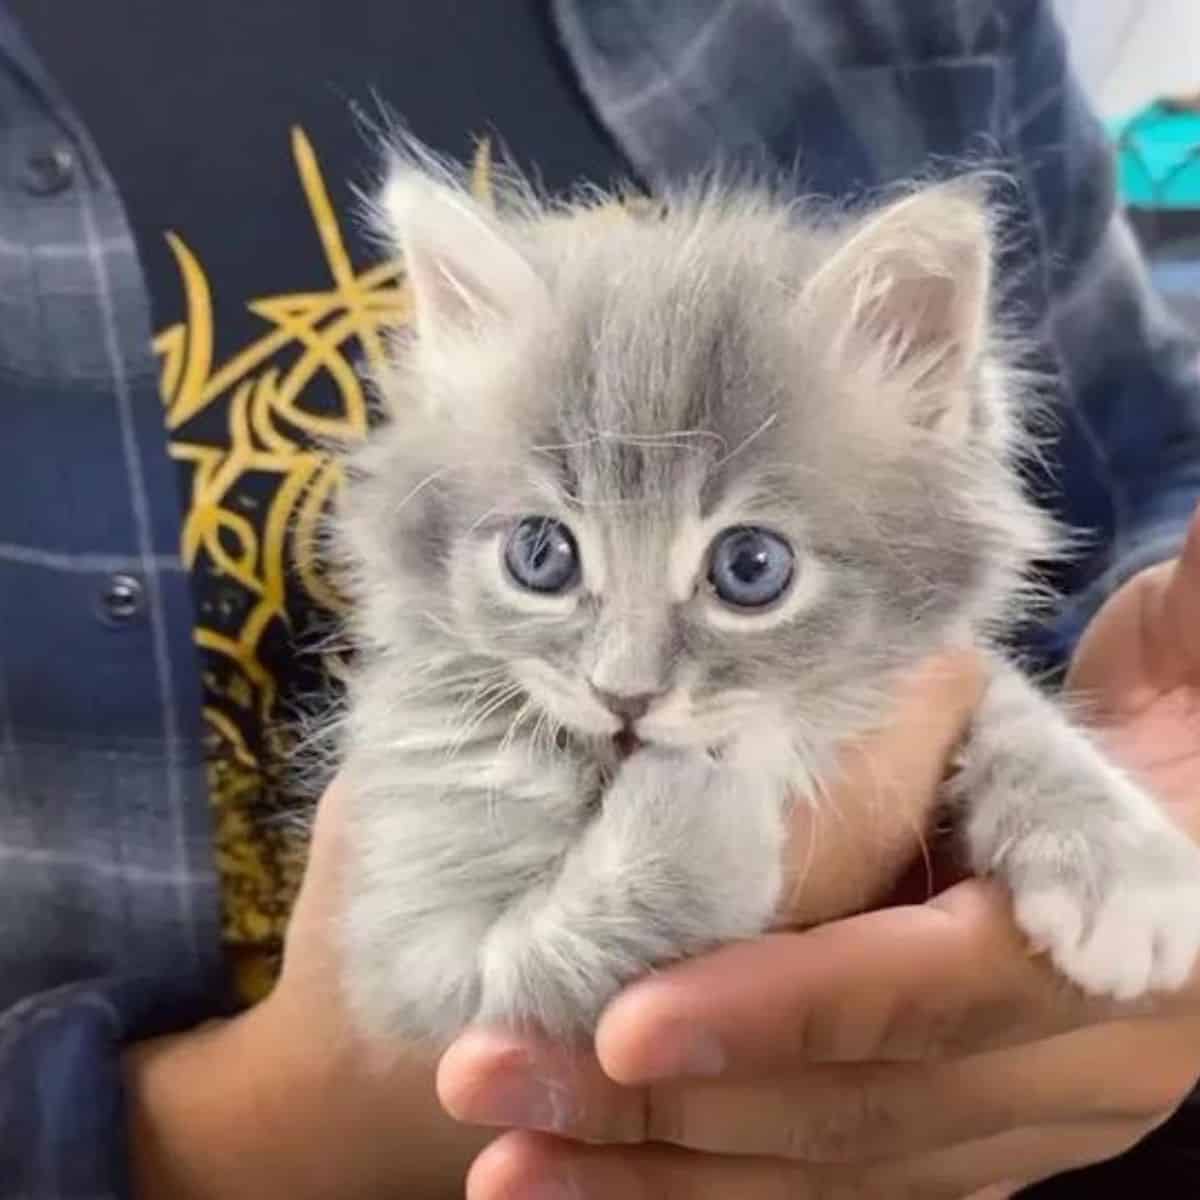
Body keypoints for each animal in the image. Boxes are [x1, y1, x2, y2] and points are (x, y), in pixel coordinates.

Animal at [333, 152, 1200, 1051]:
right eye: (541, 557)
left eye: (750, 568)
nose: (623, 696)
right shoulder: (420, 963)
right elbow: (528, 966)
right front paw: (703, 805)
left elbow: (1011, 705)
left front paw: (1118, 860)